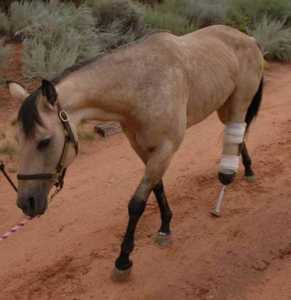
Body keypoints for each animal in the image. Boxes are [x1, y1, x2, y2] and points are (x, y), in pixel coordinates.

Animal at [8, 24, 264, 280]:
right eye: (19, 140)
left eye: (44, 141)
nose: (26, 203)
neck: (139, 86)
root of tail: (249, 38)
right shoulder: (141, 147)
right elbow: (157, 188)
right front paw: (165, 227)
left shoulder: (165, 148)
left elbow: (137, 203)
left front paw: (123, 260)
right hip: (224, 105)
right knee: (237, 136)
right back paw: (245, 169)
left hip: (238, 103)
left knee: (237, 131)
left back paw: (230, 180)